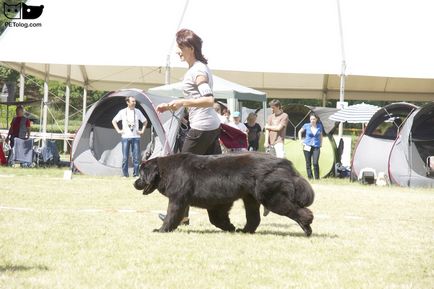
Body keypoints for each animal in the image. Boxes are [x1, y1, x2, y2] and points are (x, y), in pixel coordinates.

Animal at [134, 152, 314, 235]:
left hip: (271, 198)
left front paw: (161, 229)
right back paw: (244, 231)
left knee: (298, 211)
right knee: (254, 218)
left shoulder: (178, 200)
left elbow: (171, 216)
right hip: (251, 198)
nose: (134, 183)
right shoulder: (217, 203)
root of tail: (282, 162)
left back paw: (306, 228)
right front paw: (230, 227)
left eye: (141, 174)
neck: (167, 171)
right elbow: (216, 219)